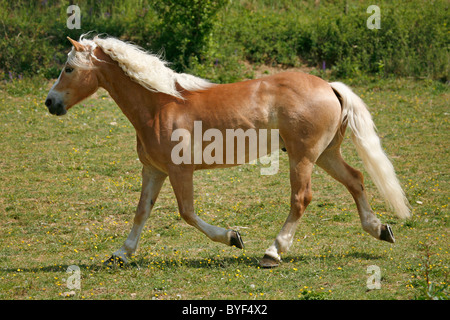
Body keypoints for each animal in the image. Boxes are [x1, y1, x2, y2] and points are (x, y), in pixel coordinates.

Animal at [46, 34, 412, 268]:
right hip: (325, 155)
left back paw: (273, 253)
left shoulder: (180, 171)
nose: (50, 103)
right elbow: (141, 212)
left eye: (69, 69)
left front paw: (233, 237)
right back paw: (379, 229)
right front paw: (120, 255)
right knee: (356, 179)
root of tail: (329, 86)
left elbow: (187, 213)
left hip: (303, 157)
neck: (160, 105)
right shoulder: (154, 170)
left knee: (301, 198)